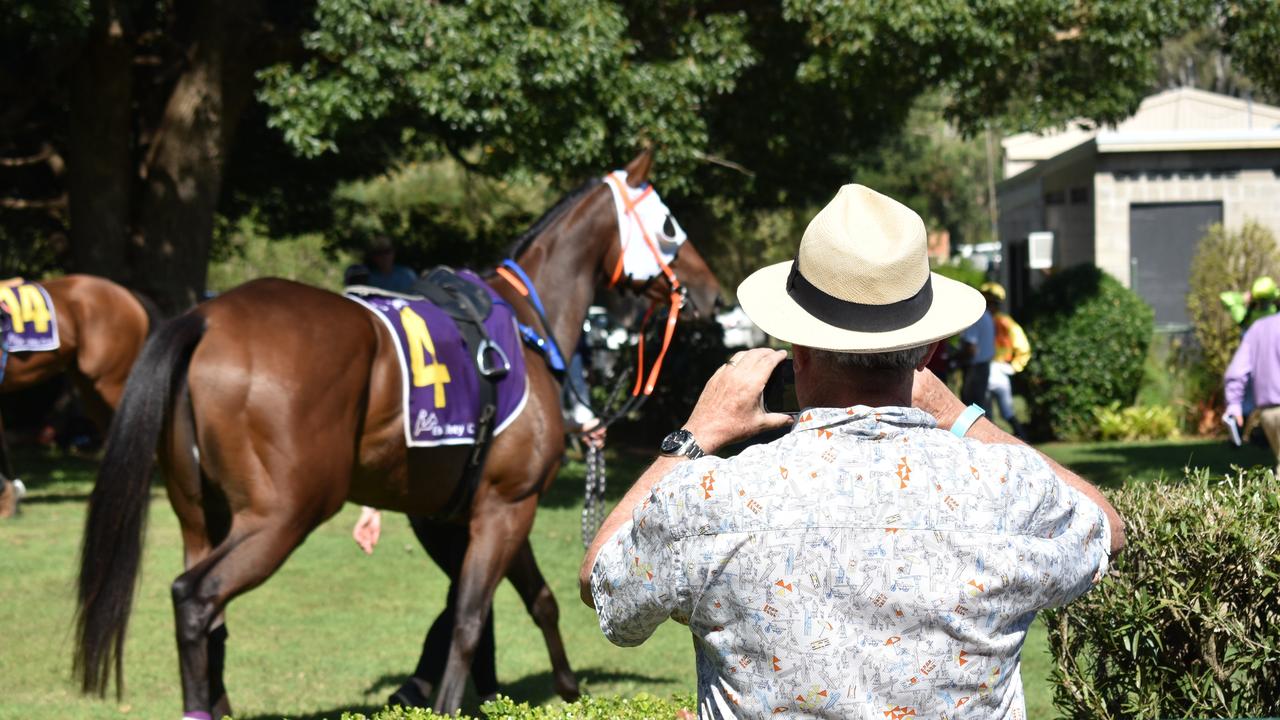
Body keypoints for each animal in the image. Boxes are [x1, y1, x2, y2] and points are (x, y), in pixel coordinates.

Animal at [74, 151, 727, 712]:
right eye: (670, 225)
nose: (711, 290)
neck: (524, 325)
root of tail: (206, 317)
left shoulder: (453, 514)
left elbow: (520, 603)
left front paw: (553, 689)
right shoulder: (507, 505)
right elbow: (468, 618)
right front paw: (449, 698)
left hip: (199, 514)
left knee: (213, 616)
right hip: (283, 515)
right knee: (195, 599)